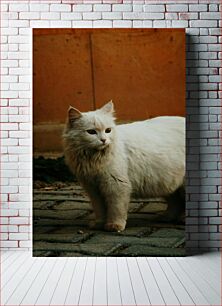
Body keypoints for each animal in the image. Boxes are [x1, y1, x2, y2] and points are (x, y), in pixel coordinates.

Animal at [62, 101, 186, 231]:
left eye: (108, 130)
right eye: (91, 132)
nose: (103, 140)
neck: (93, 158)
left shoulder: (116, 185)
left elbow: (116, 209)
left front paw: (114, 225)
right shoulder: (93, 189)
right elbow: (100, 210)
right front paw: (99, 224)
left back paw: (182, 219)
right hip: (167, 183)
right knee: (175, 203)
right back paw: (167, 217)